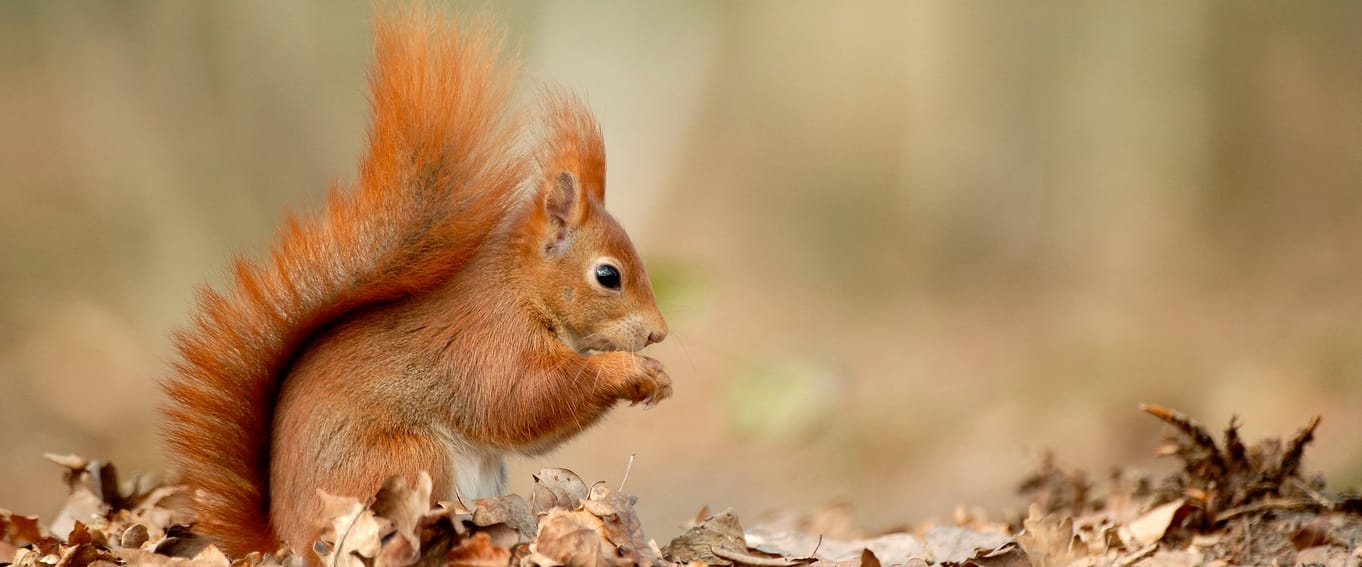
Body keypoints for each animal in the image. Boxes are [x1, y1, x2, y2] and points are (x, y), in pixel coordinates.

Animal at [160, 8, 671, 558]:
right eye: (608, 275)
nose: (658, 333)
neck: (521, 289)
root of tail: (282, 538)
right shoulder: (488, 344)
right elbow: (523, 399)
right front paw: (629, 371)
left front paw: (658, 376)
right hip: (407, 460)